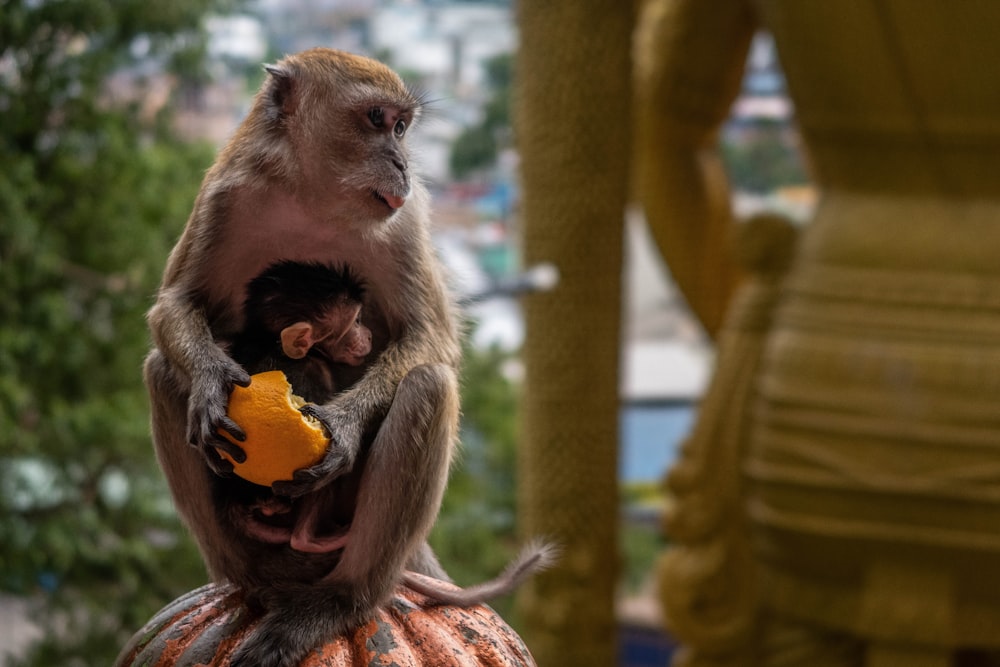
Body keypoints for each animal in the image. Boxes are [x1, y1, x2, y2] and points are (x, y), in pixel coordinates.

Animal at [143, 48, 548, 667]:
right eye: (377, 119)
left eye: (402, 128)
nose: (402, 164)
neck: (314, 200)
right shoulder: (225, 196)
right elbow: (175, 305)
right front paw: (212, 381)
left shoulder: (406, 219)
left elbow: (432, 338)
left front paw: (346, 426)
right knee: (164, 372)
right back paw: (256, 583)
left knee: (428, 387)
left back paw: (342, 601)